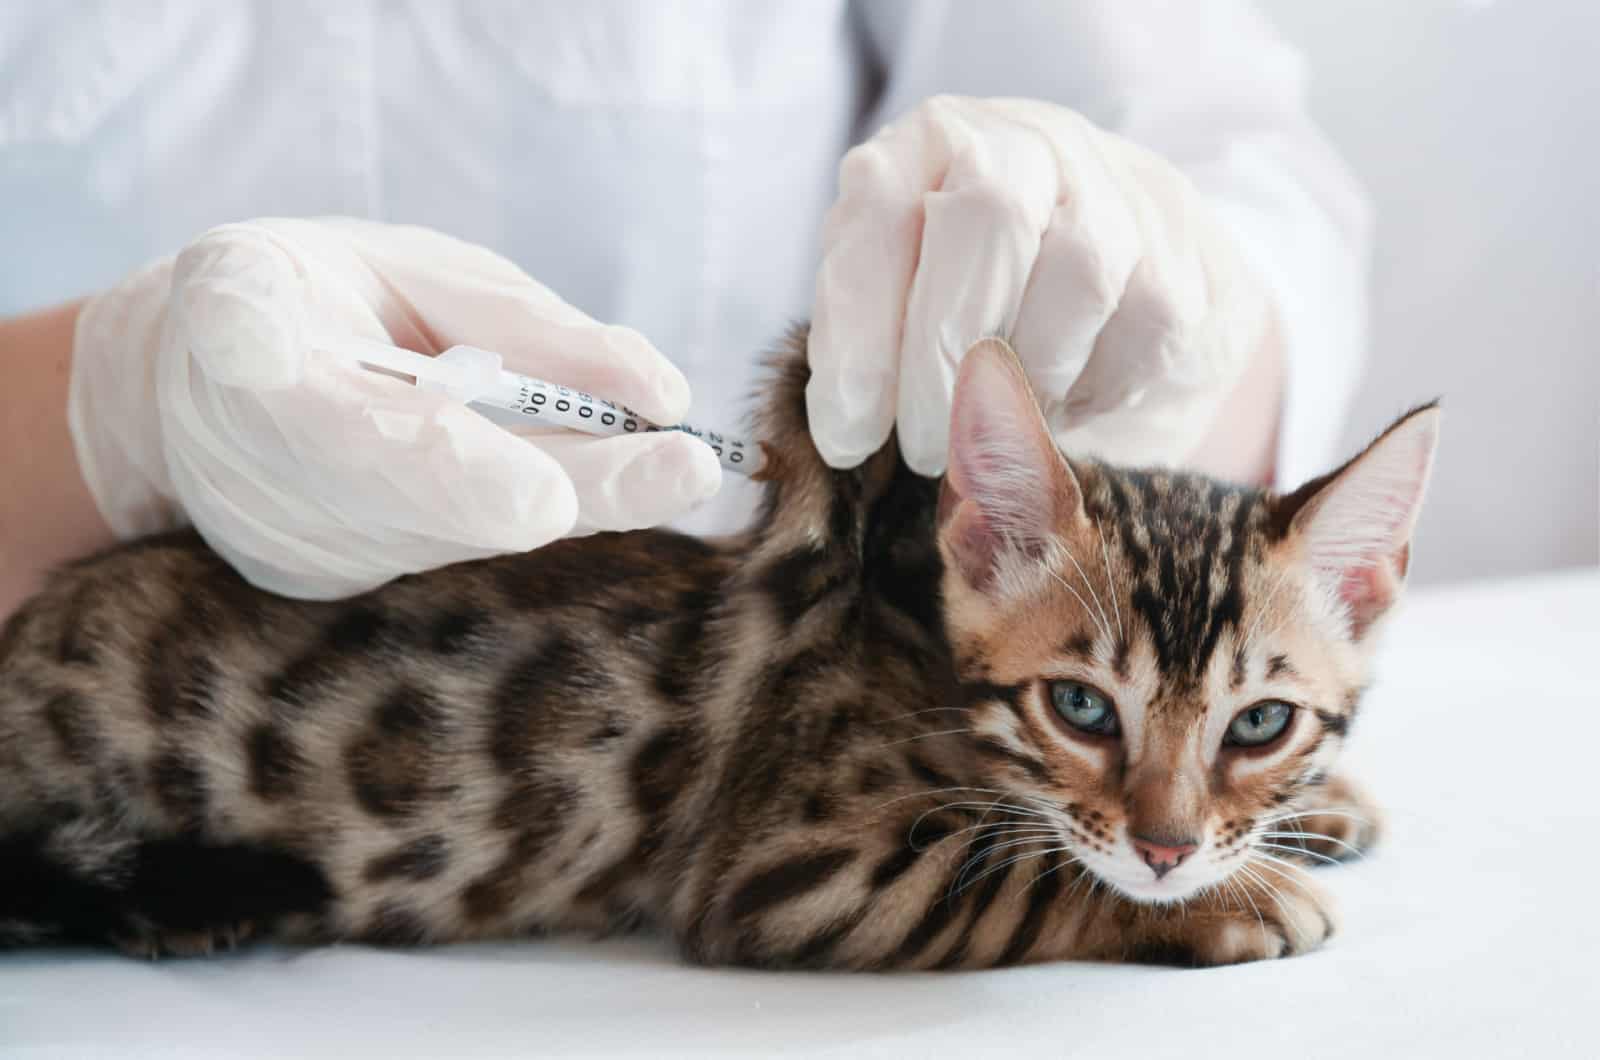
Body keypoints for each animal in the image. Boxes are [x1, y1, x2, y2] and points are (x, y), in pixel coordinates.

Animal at [0, 333, 1440, 973]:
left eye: (1259, 724)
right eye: (1082, 709)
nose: (1168, 846)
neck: (916, 646)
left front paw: (1317, 813)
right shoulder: (793, 870)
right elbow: (1025, 875)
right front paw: (1235, 899)